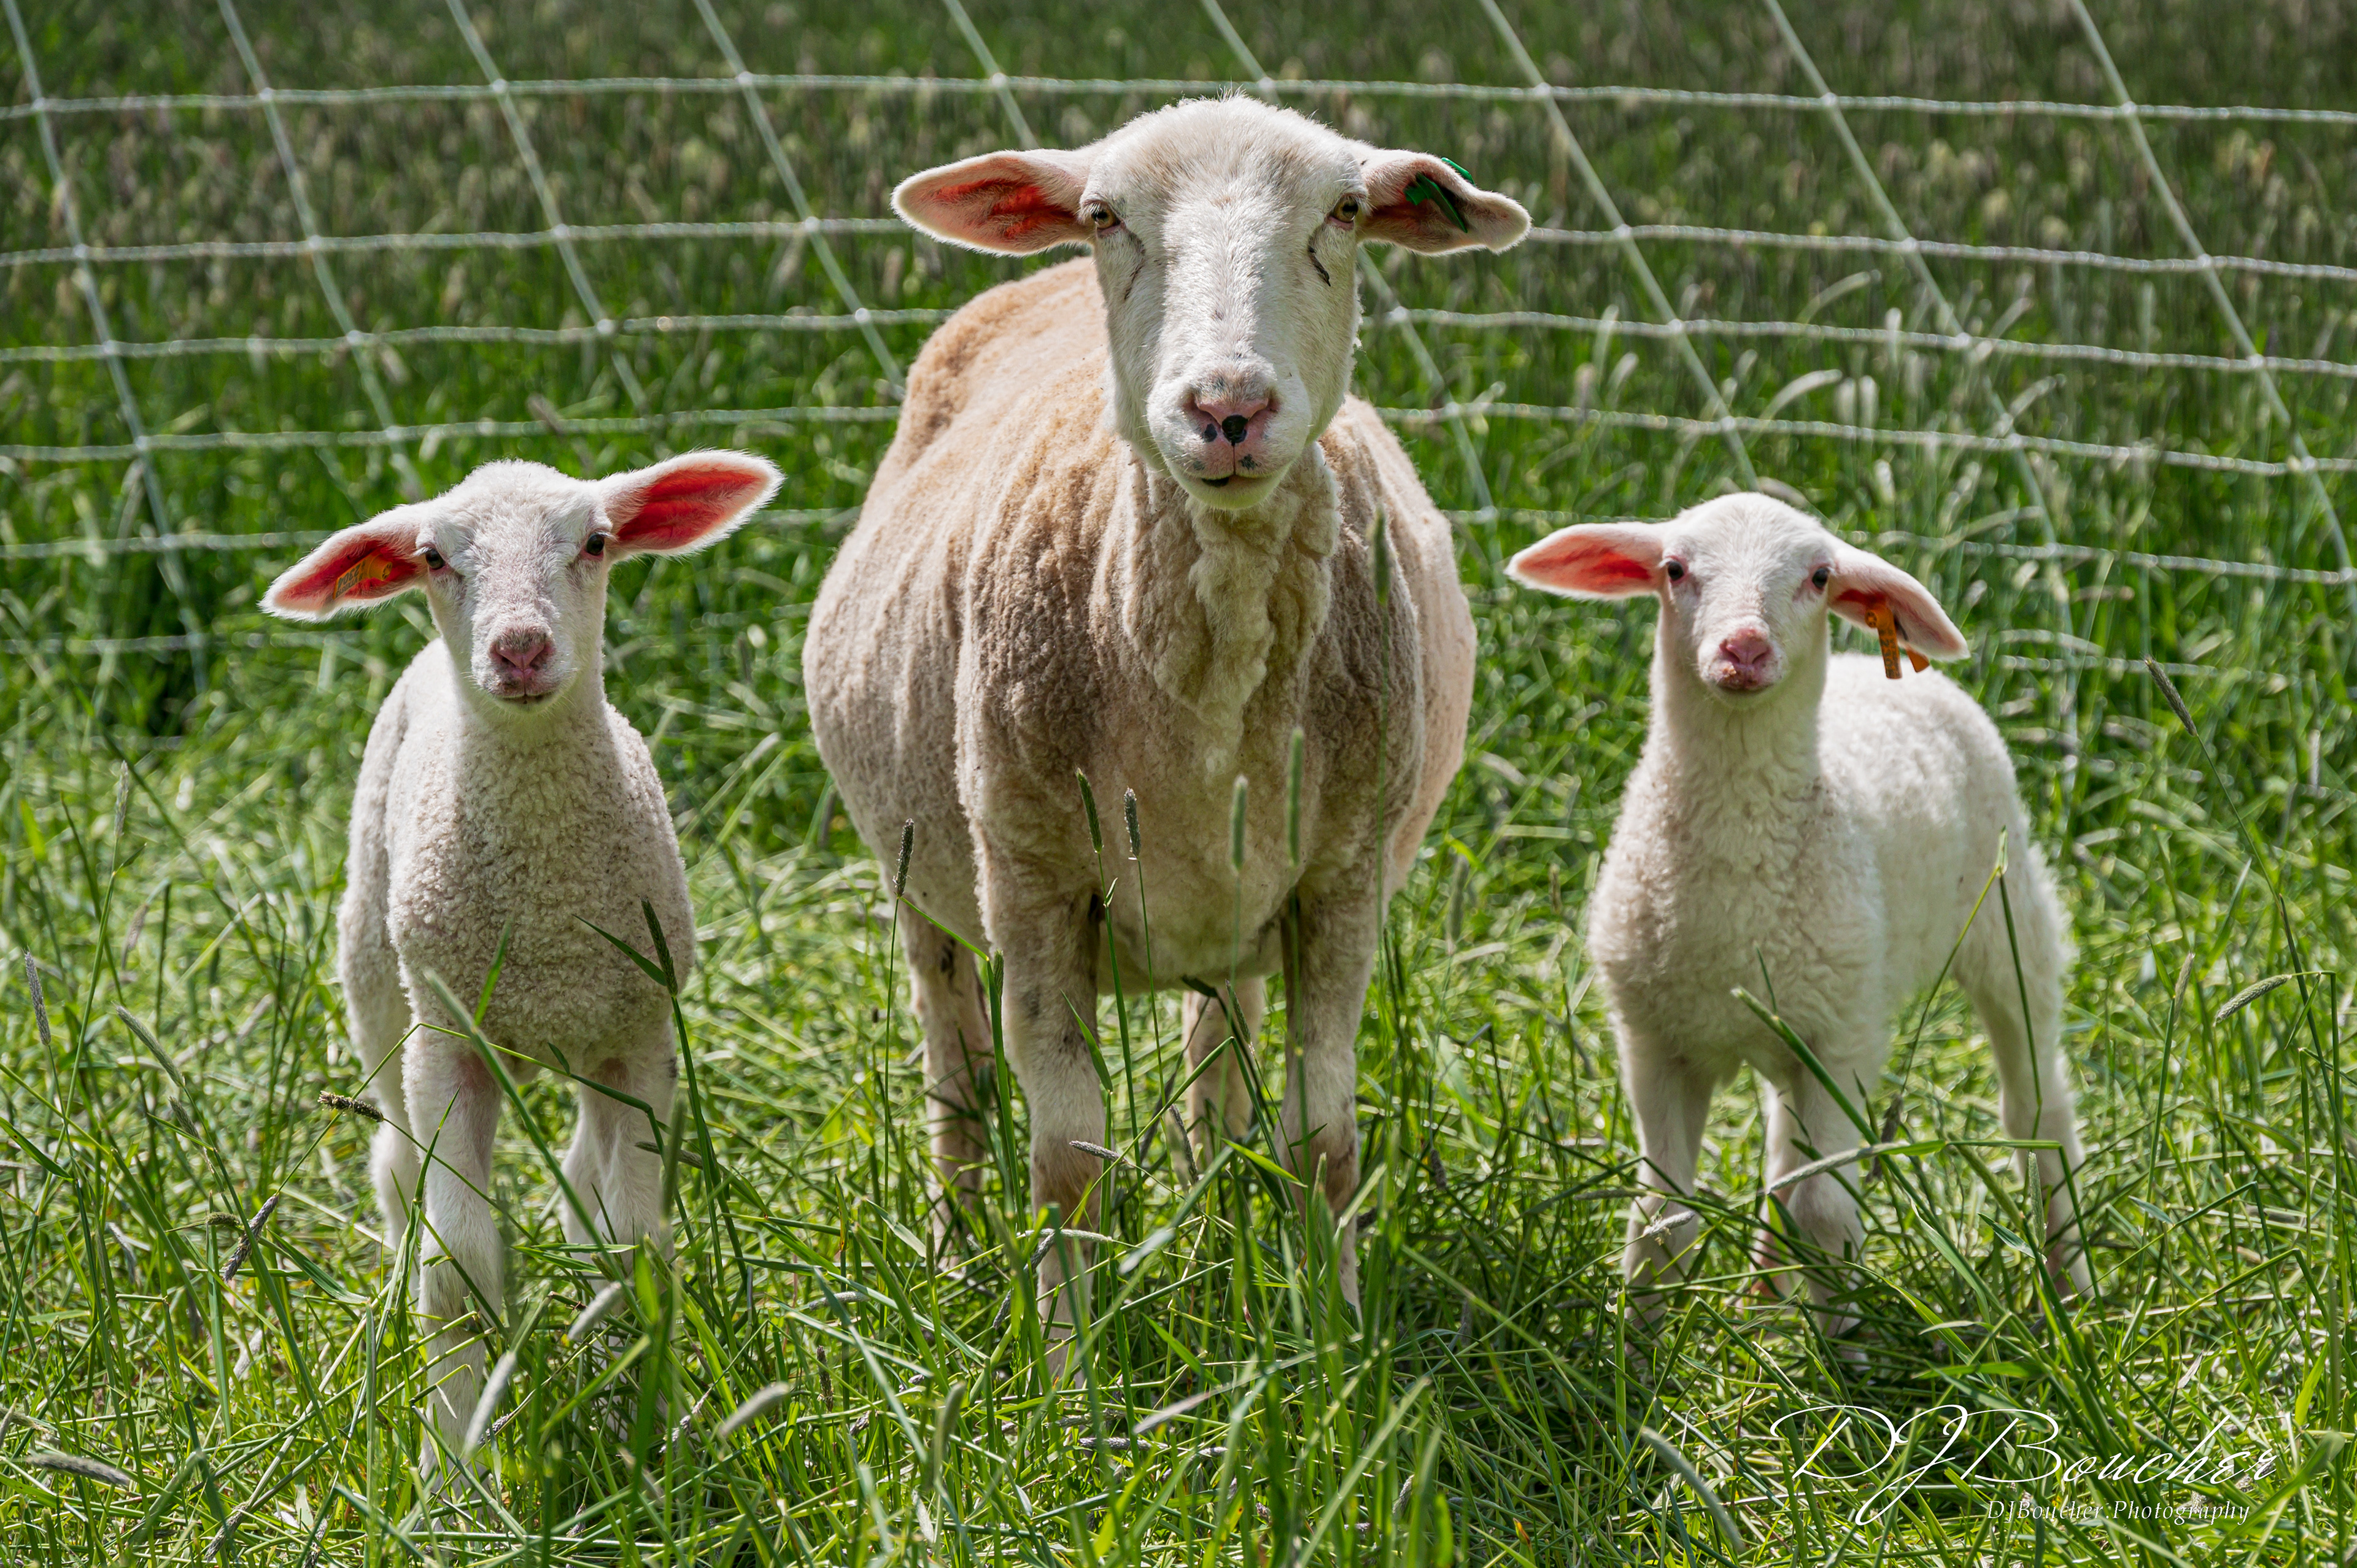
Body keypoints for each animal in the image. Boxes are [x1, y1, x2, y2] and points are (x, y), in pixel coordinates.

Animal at [264, 450, 781, 1463]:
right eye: (433, 557)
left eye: (596, 541)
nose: (519, 648)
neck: (546, 909)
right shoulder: (450, 1041)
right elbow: (458, 1265)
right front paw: (453, 1469)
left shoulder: (636, 1034)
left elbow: (636, 1245)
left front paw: (645, 1429)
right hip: (378, 980)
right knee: (395, 1162)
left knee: (583, 1177)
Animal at [805, 97, 1528, 1318]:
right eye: (1106, 216)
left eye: (1347, 211)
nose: (1227, 407)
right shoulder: (1034, 880)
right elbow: (1066, 1161)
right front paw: (1069, 1356)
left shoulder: (1341, 880)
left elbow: (1323, 1142)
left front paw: (1335, 1334)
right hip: (917, 874)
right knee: (956, 1083)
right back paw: (954, 1254)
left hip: (1232, 900)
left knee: (1214, 1071)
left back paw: (1211, 1224)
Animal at [1507, 493, 2089, 1339]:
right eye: (1674, 569)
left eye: (1818, 577)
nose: (1744, 647)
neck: (1736, 877)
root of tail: (1872, 669)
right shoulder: (1655, 1039)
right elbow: (1662, 1216)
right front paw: (1636, 1349)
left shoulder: (1843, 1038)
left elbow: (1826, 1214)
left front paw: (1841, 1356)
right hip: (1786, 1015)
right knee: (1783, 1146)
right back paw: (1763, 1296)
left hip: (2011, 930)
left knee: (2037, 1110)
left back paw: (2073, 1289)